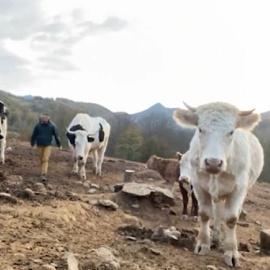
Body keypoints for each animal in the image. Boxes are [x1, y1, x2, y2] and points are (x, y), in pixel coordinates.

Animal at [173, 102, 264, 268]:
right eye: (200, 129)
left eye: (231, 131)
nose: (213, 162)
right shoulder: (198, 186)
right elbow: (204, 214)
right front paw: (203, 244)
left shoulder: (238, 189)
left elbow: (231, 219)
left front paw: (231, 253)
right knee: (216, 213)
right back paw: (215, 238)